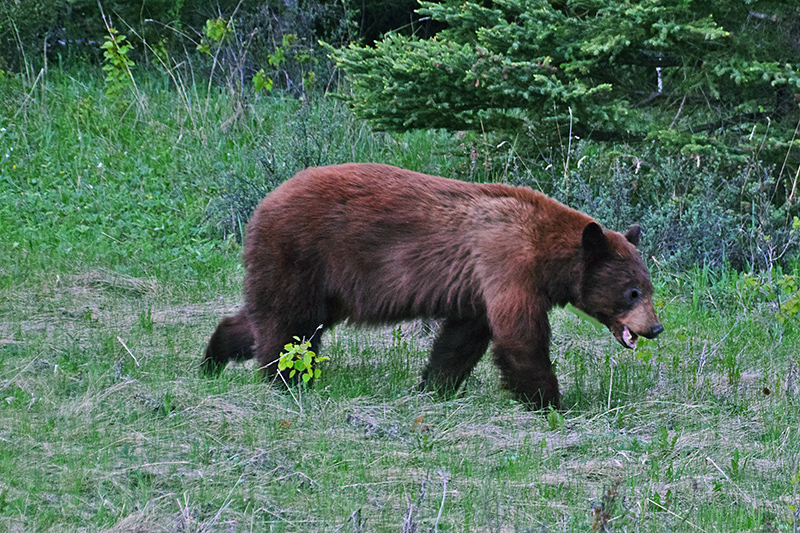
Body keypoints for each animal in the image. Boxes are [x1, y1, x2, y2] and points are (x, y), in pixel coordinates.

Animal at [202, 162, 664, 408]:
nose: (655, 327)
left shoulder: (479, 287)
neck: (548, 251)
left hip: (320, 282)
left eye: (649, 287)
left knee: (272, 319)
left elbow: (462, 338)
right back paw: (286, 380)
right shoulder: (506, 262)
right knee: (288, 323)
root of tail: (264, 201)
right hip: (301, 253)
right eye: (633, 292)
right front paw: (550, 402)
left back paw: (213, 357)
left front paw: (433, 386)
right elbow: (520, 336)